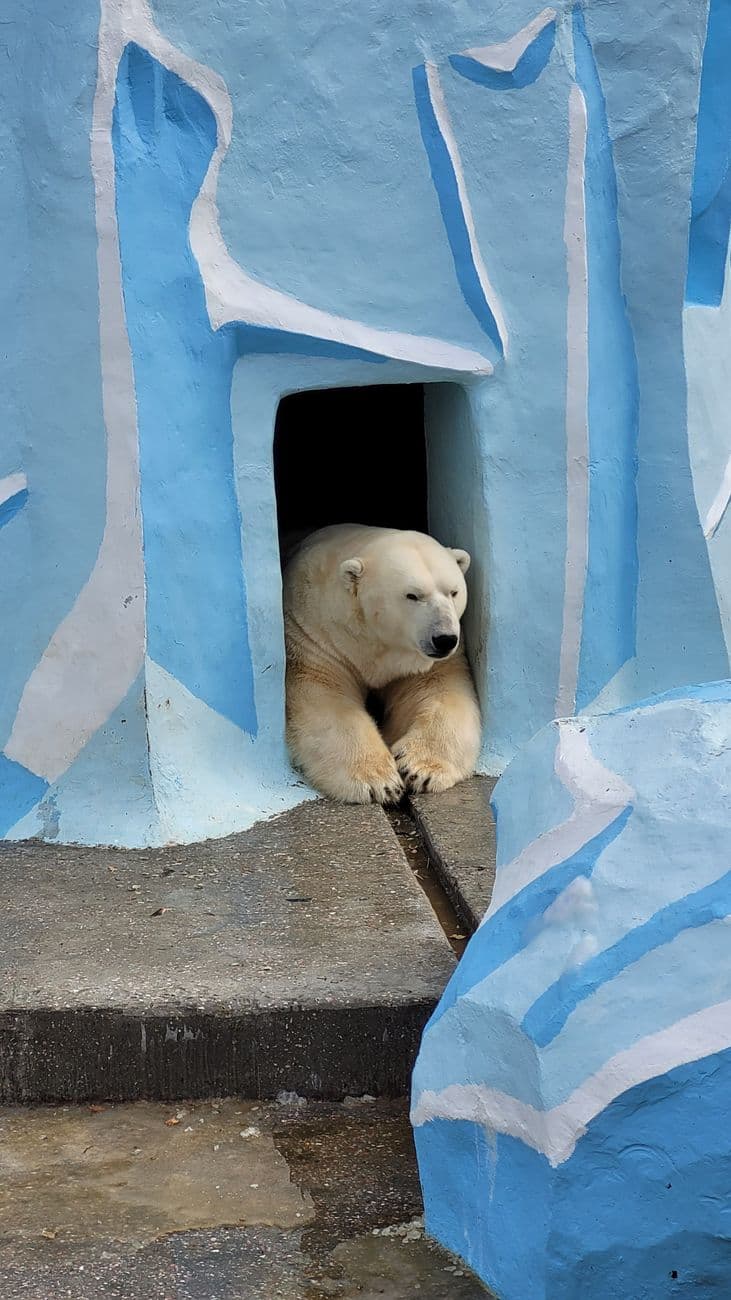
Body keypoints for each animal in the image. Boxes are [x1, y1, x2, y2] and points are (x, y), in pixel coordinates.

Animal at [283, 524, 482, 804]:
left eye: (454, 592)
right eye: (412, 595)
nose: (444, 639)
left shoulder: (424, 663)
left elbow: (442, 694)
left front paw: (418, 769)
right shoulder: (316, 637)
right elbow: (326, 699)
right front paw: (378, 781)